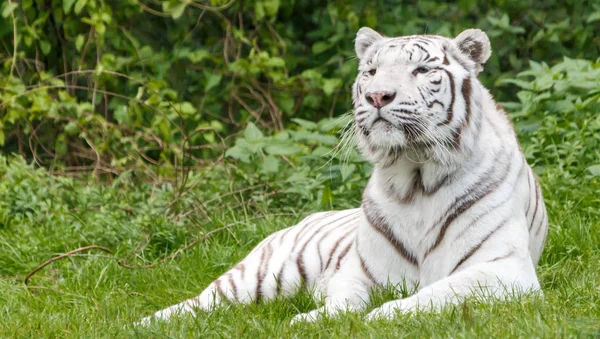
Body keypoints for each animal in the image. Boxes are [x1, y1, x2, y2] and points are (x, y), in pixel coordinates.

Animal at [137, 27, 548, 326]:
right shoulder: (361, 269)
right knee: (203, 300)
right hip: (262, 275)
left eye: (422, 70)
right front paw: (312, 320)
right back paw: (146, 324)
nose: (378, 96)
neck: (415, 175)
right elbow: (346, 298)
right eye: (371, 72)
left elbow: (436, 294)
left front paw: (383, 315)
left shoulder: (505, 269)